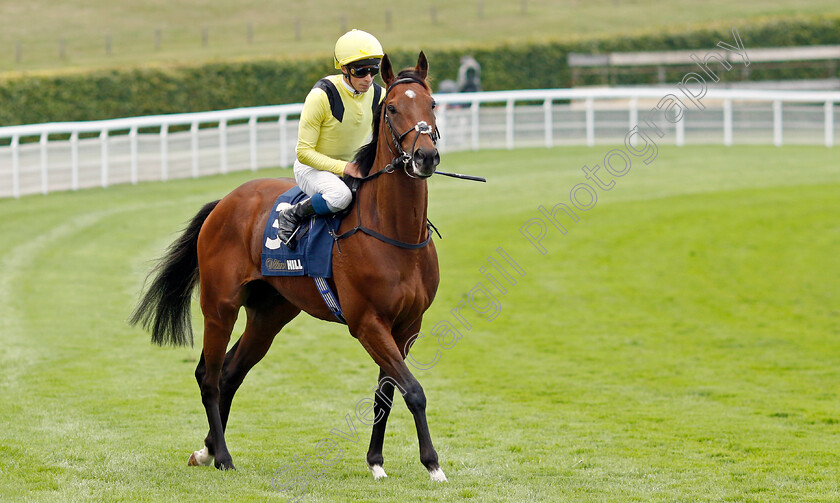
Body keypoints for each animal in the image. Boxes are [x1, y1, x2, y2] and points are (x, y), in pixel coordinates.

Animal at [129, 52, 450, 484]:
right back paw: (223, 456)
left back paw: (206, 450)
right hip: (220, 306)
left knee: (230, 373)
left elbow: (387, 392)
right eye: (394, 108)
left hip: (270, 314)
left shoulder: (407, 325)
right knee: (209, 376)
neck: (393, 233)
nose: (425, 157)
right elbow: (412, 390)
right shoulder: (367, 322)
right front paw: (432, 464)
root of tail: (225, 202)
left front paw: (376, 461)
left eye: (431, 104)